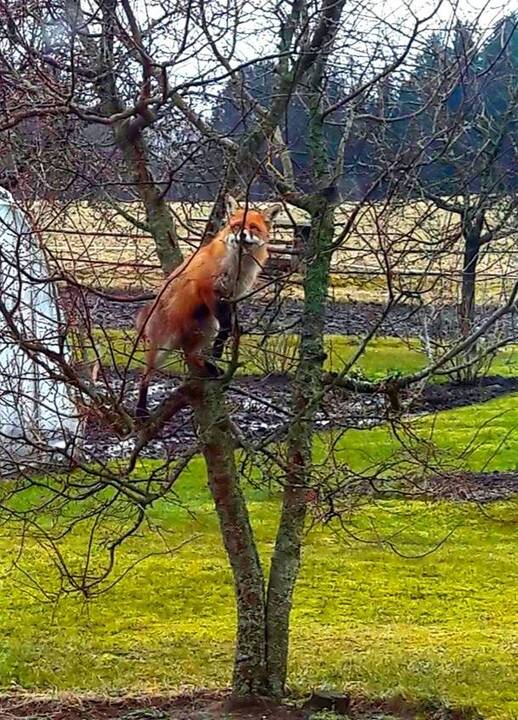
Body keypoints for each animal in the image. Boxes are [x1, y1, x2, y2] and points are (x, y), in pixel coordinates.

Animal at [134, 194, 280, 416]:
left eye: (253, 227)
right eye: (236, 226)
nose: (242, 234)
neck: (237, 268)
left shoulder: (232, 296)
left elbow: (230, 323)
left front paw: (227, 340)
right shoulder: (208, 290)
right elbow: (226, 326)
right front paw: (219, 349)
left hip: (208, 326)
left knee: (192, 356)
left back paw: (211, 367)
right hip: (163, 345)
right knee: (145, 375)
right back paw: (141, 409)